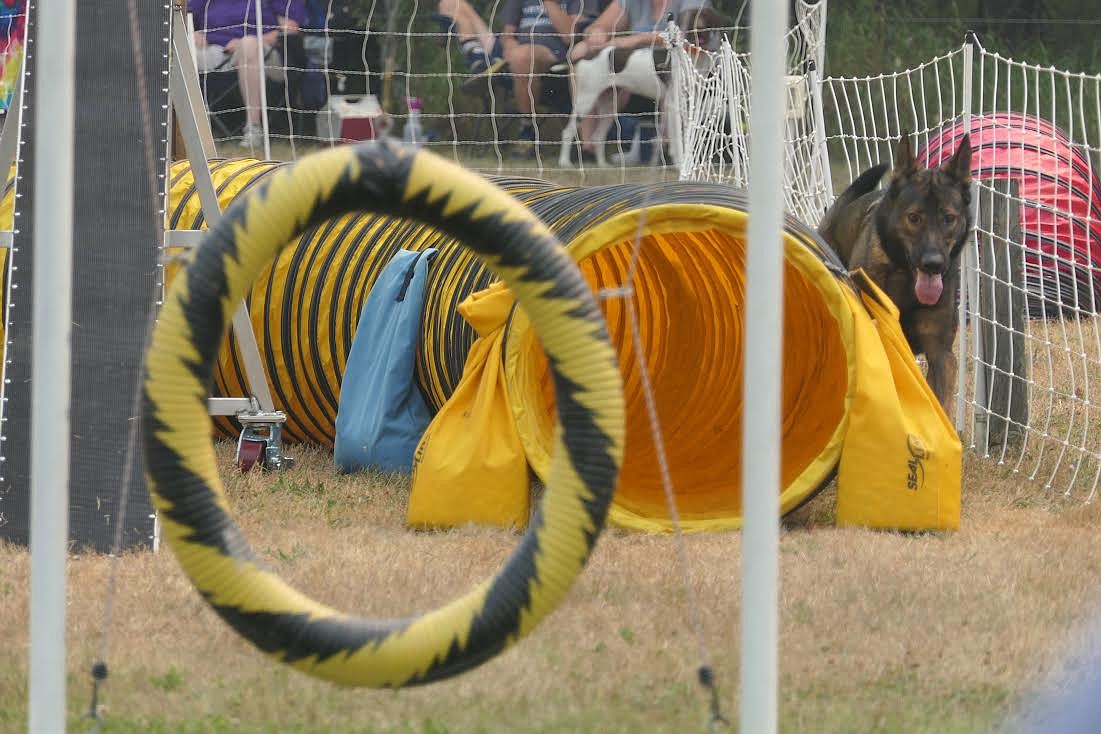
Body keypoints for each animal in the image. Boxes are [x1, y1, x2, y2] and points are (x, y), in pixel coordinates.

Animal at [819, 129, 973, 411]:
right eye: (914, 217)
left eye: (949, 218)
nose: (933, 264)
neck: (906, 280)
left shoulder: (941, 354)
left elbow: (940, 402)